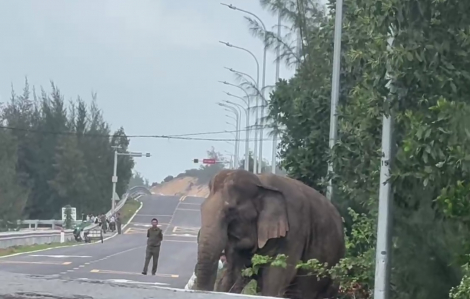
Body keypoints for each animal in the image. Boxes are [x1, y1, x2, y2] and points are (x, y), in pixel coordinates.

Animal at [195, 170, 346, 298]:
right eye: (201, 208)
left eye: (230, 211)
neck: (261, 182)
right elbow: (233, 275)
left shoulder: (295, 231)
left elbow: (276, 279)